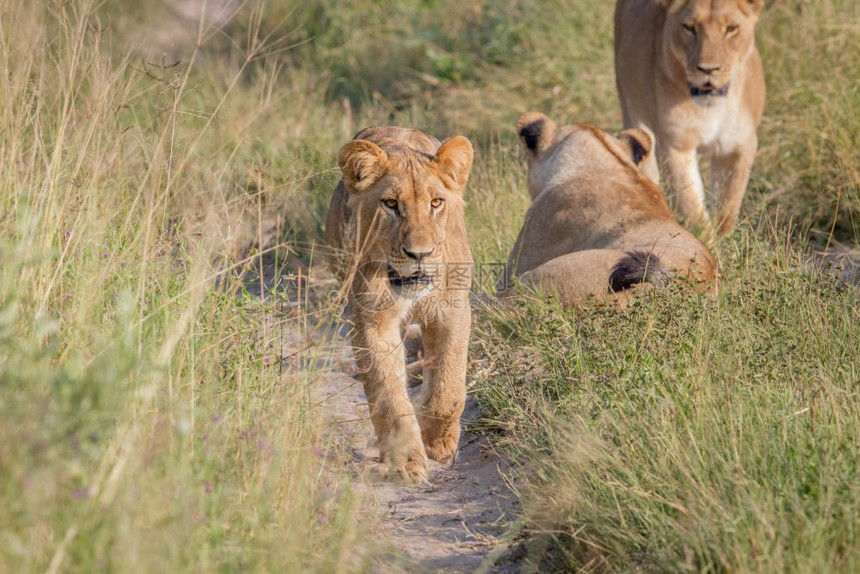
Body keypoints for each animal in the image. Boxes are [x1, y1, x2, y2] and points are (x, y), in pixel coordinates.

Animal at [326, 127, 474, 486]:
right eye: (391, 204)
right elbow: (388, 394)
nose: (420, 254)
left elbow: (448, 388)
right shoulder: (371, 321)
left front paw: (438, 443)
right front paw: (405, 463)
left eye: (436, 203)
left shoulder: (453, 311)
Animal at [612, 0, 764, 238]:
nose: (708, 69)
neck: (711, 107)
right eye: (689, 28)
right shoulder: (677, 146)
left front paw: (722, 237)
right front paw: (706, 242)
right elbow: (692, 207)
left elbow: (728, 204)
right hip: (633, 110)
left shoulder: (740, 145)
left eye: (731, 29)